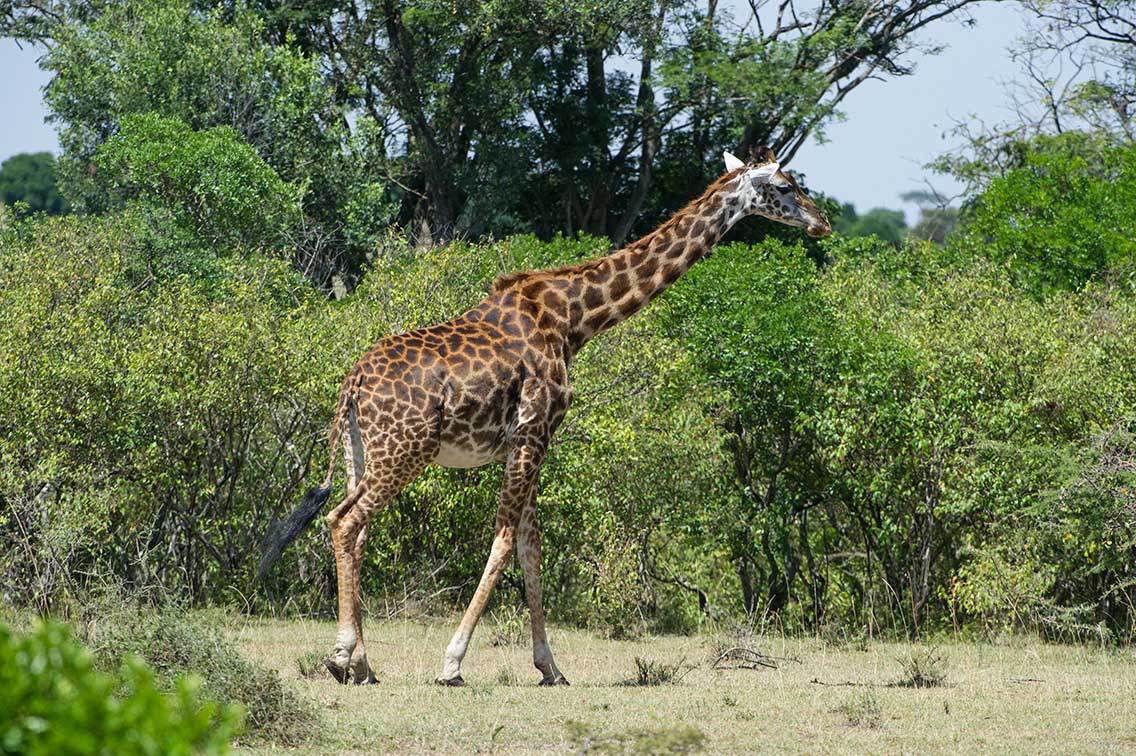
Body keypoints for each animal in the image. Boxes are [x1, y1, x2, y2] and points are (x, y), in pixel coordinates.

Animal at [257, 146, 830, 686]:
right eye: (784, 185)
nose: (821, 221)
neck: (575, 321)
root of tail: (352, 384)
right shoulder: (535, 432)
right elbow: (504, 543)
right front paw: (452, 663)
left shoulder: (525, 442)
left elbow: (531, 550)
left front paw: (549, 667)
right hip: (405, 449)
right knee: (346, 521)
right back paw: (341, 658)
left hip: (361, 450)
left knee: (353, 531)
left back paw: (361, 664)